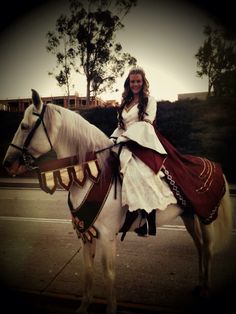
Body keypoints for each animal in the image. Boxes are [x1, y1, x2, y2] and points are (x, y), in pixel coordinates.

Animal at [3, 90, 232, 314]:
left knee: (207, 249)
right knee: (199, 247)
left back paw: (206, 290)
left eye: (24, 126)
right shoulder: (86, 235)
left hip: (206, 217)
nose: (7, 164)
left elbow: (109, 273)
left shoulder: (107, 236)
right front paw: (84, 306)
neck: (93, 176)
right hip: (188, 216)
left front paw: (111, 308)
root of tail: (215, 166)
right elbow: (87, 270)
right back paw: (200, 285)